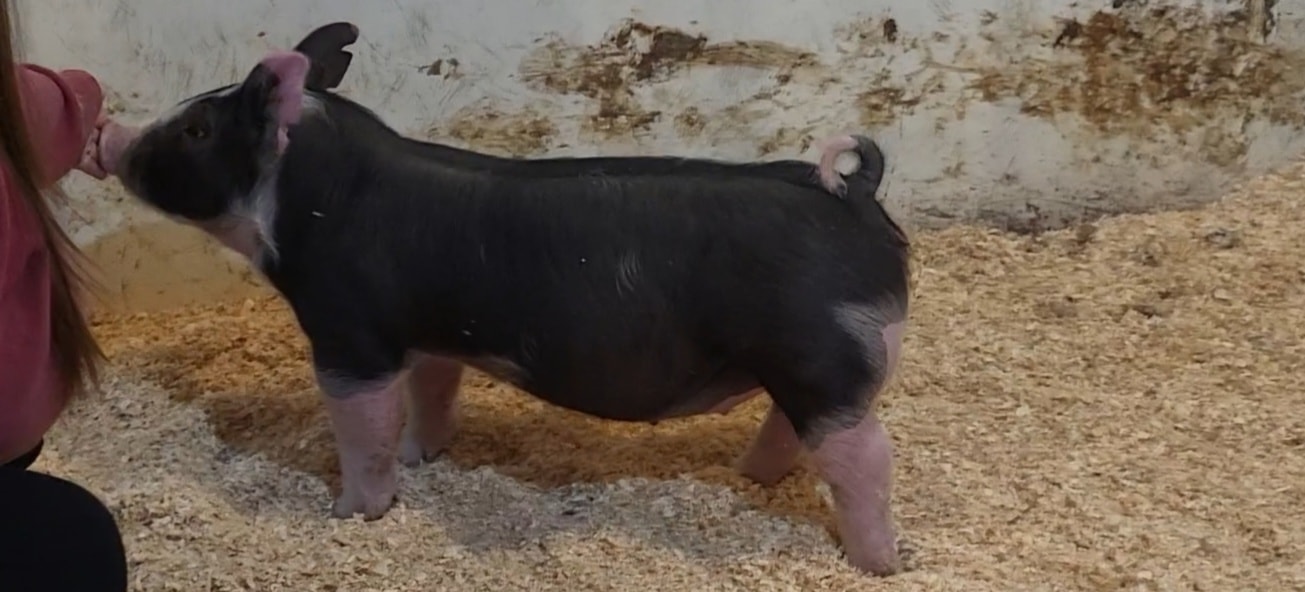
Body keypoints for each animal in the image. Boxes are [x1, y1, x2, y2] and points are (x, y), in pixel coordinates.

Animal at [89, 26, 912, 577]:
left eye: (197, 128)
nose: (105, 134)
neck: (311, 200)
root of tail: (851, 196)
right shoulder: (434, 334)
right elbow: (429, 396)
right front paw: (422, 457)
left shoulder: (349, 334)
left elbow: (362, 425)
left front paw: (351, 513)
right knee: (793, 429)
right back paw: (750, 478)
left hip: (821, 356)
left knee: (866, 454)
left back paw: (880, 563)